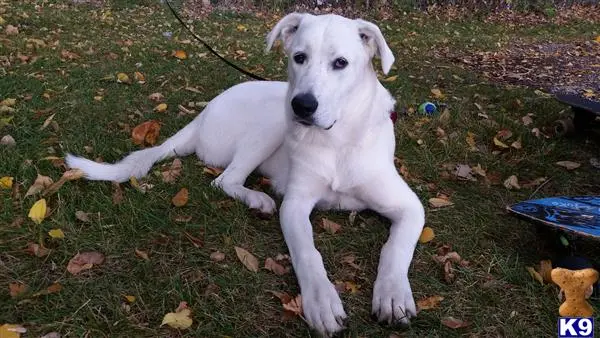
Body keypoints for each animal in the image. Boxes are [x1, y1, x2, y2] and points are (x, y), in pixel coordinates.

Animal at [67, 11, 426, 336]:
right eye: (299, 57)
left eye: (341, 63)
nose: (302, 105)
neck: (337, 139)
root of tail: (205, 112)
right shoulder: (295, 205)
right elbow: (308, 254)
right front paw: (322, 302)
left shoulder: (410, 207)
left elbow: (395, 249)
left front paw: (392, 295)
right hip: (273, 120)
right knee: (224, 179)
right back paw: (257, 199)